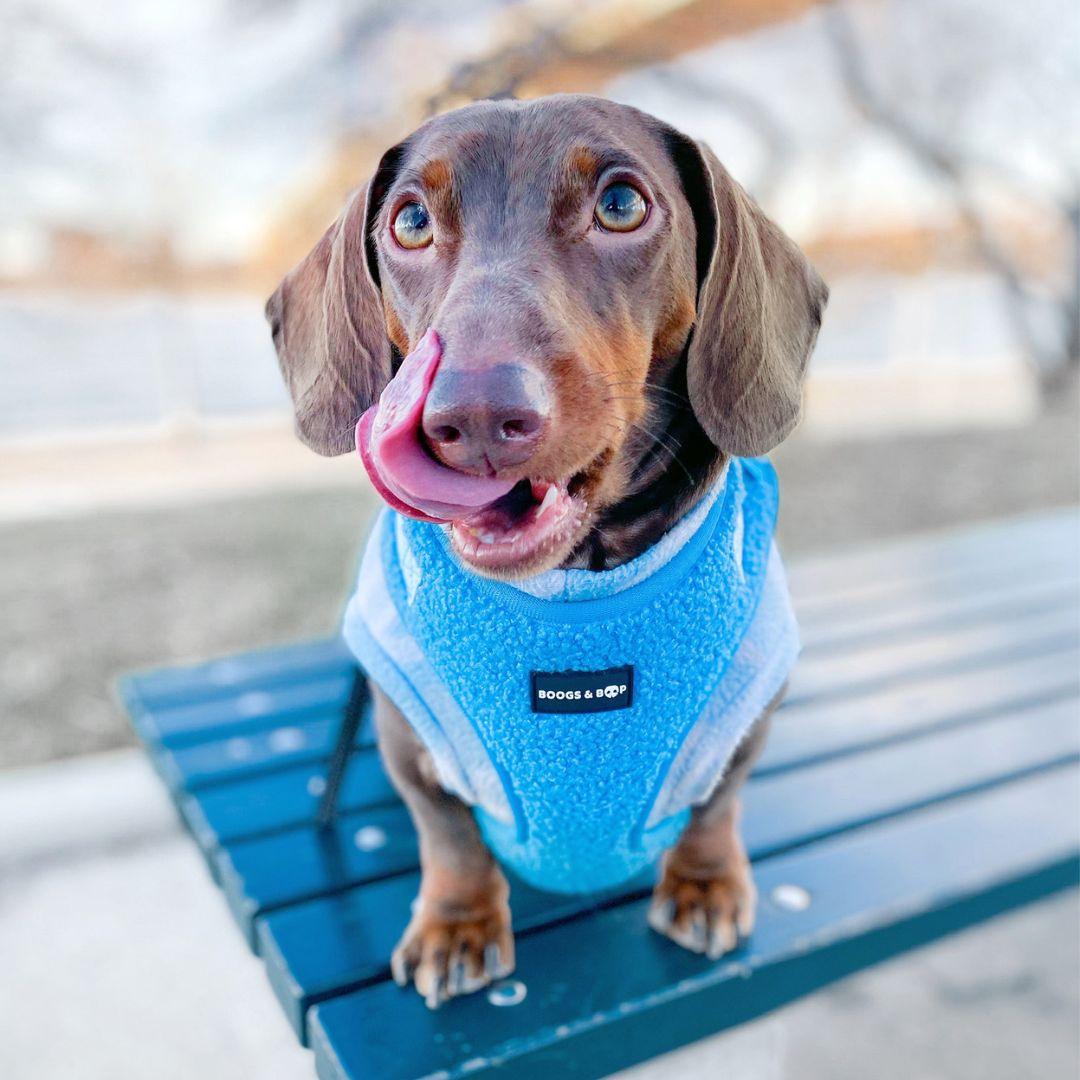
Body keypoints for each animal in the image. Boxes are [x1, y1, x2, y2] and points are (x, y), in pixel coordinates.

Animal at [267, 95, 825, 1010]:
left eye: (622, 205)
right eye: (410, 221)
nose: (473, 416)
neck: (577, 582)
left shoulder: (746, 714)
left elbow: (718, 807)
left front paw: (705, 884)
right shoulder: (408, 738)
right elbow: (449, 835)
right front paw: (458, 924)